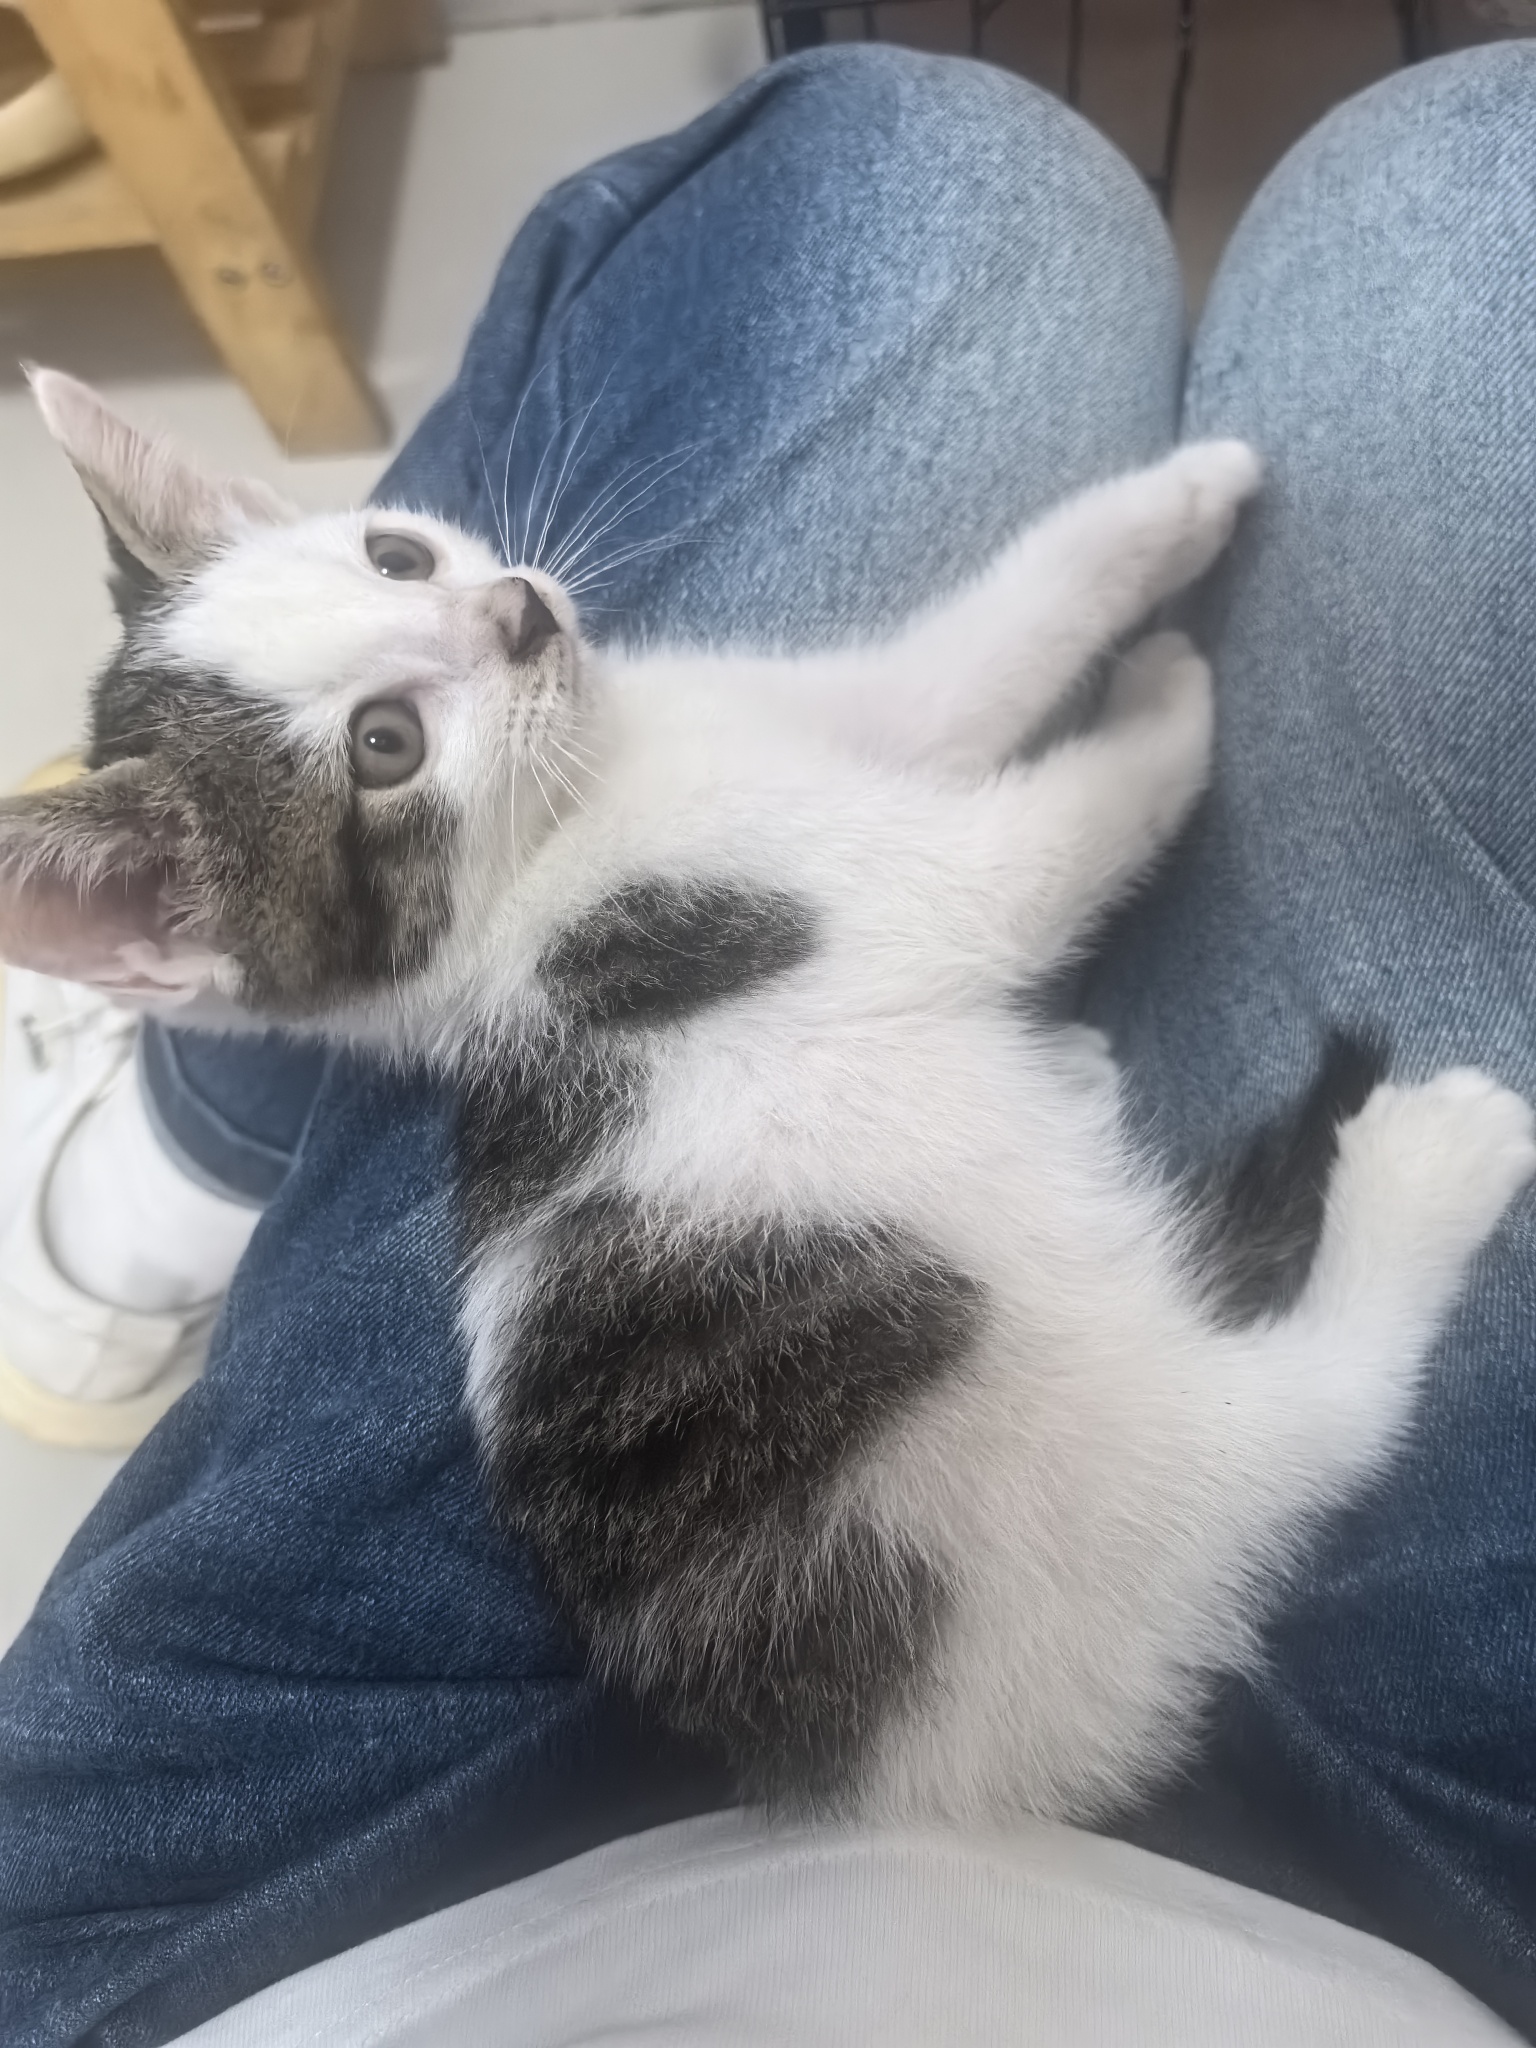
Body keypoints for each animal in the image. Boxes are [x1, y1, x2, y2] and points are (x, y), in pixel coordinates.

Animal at [4, 366, 1532, 1825]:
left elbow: (992, 637)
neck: (578, 807)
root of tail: (914, 1778)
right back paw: (1429, 1163)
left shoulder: (828, 715)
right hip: (1092, 1463)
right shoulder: (890, 885)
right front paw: (1168, 700)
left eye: (395, 555)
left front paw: (1179, 500)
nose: (518, 614)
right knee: (1316, 1420)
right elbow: (1057, 832)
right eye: (385, 747)